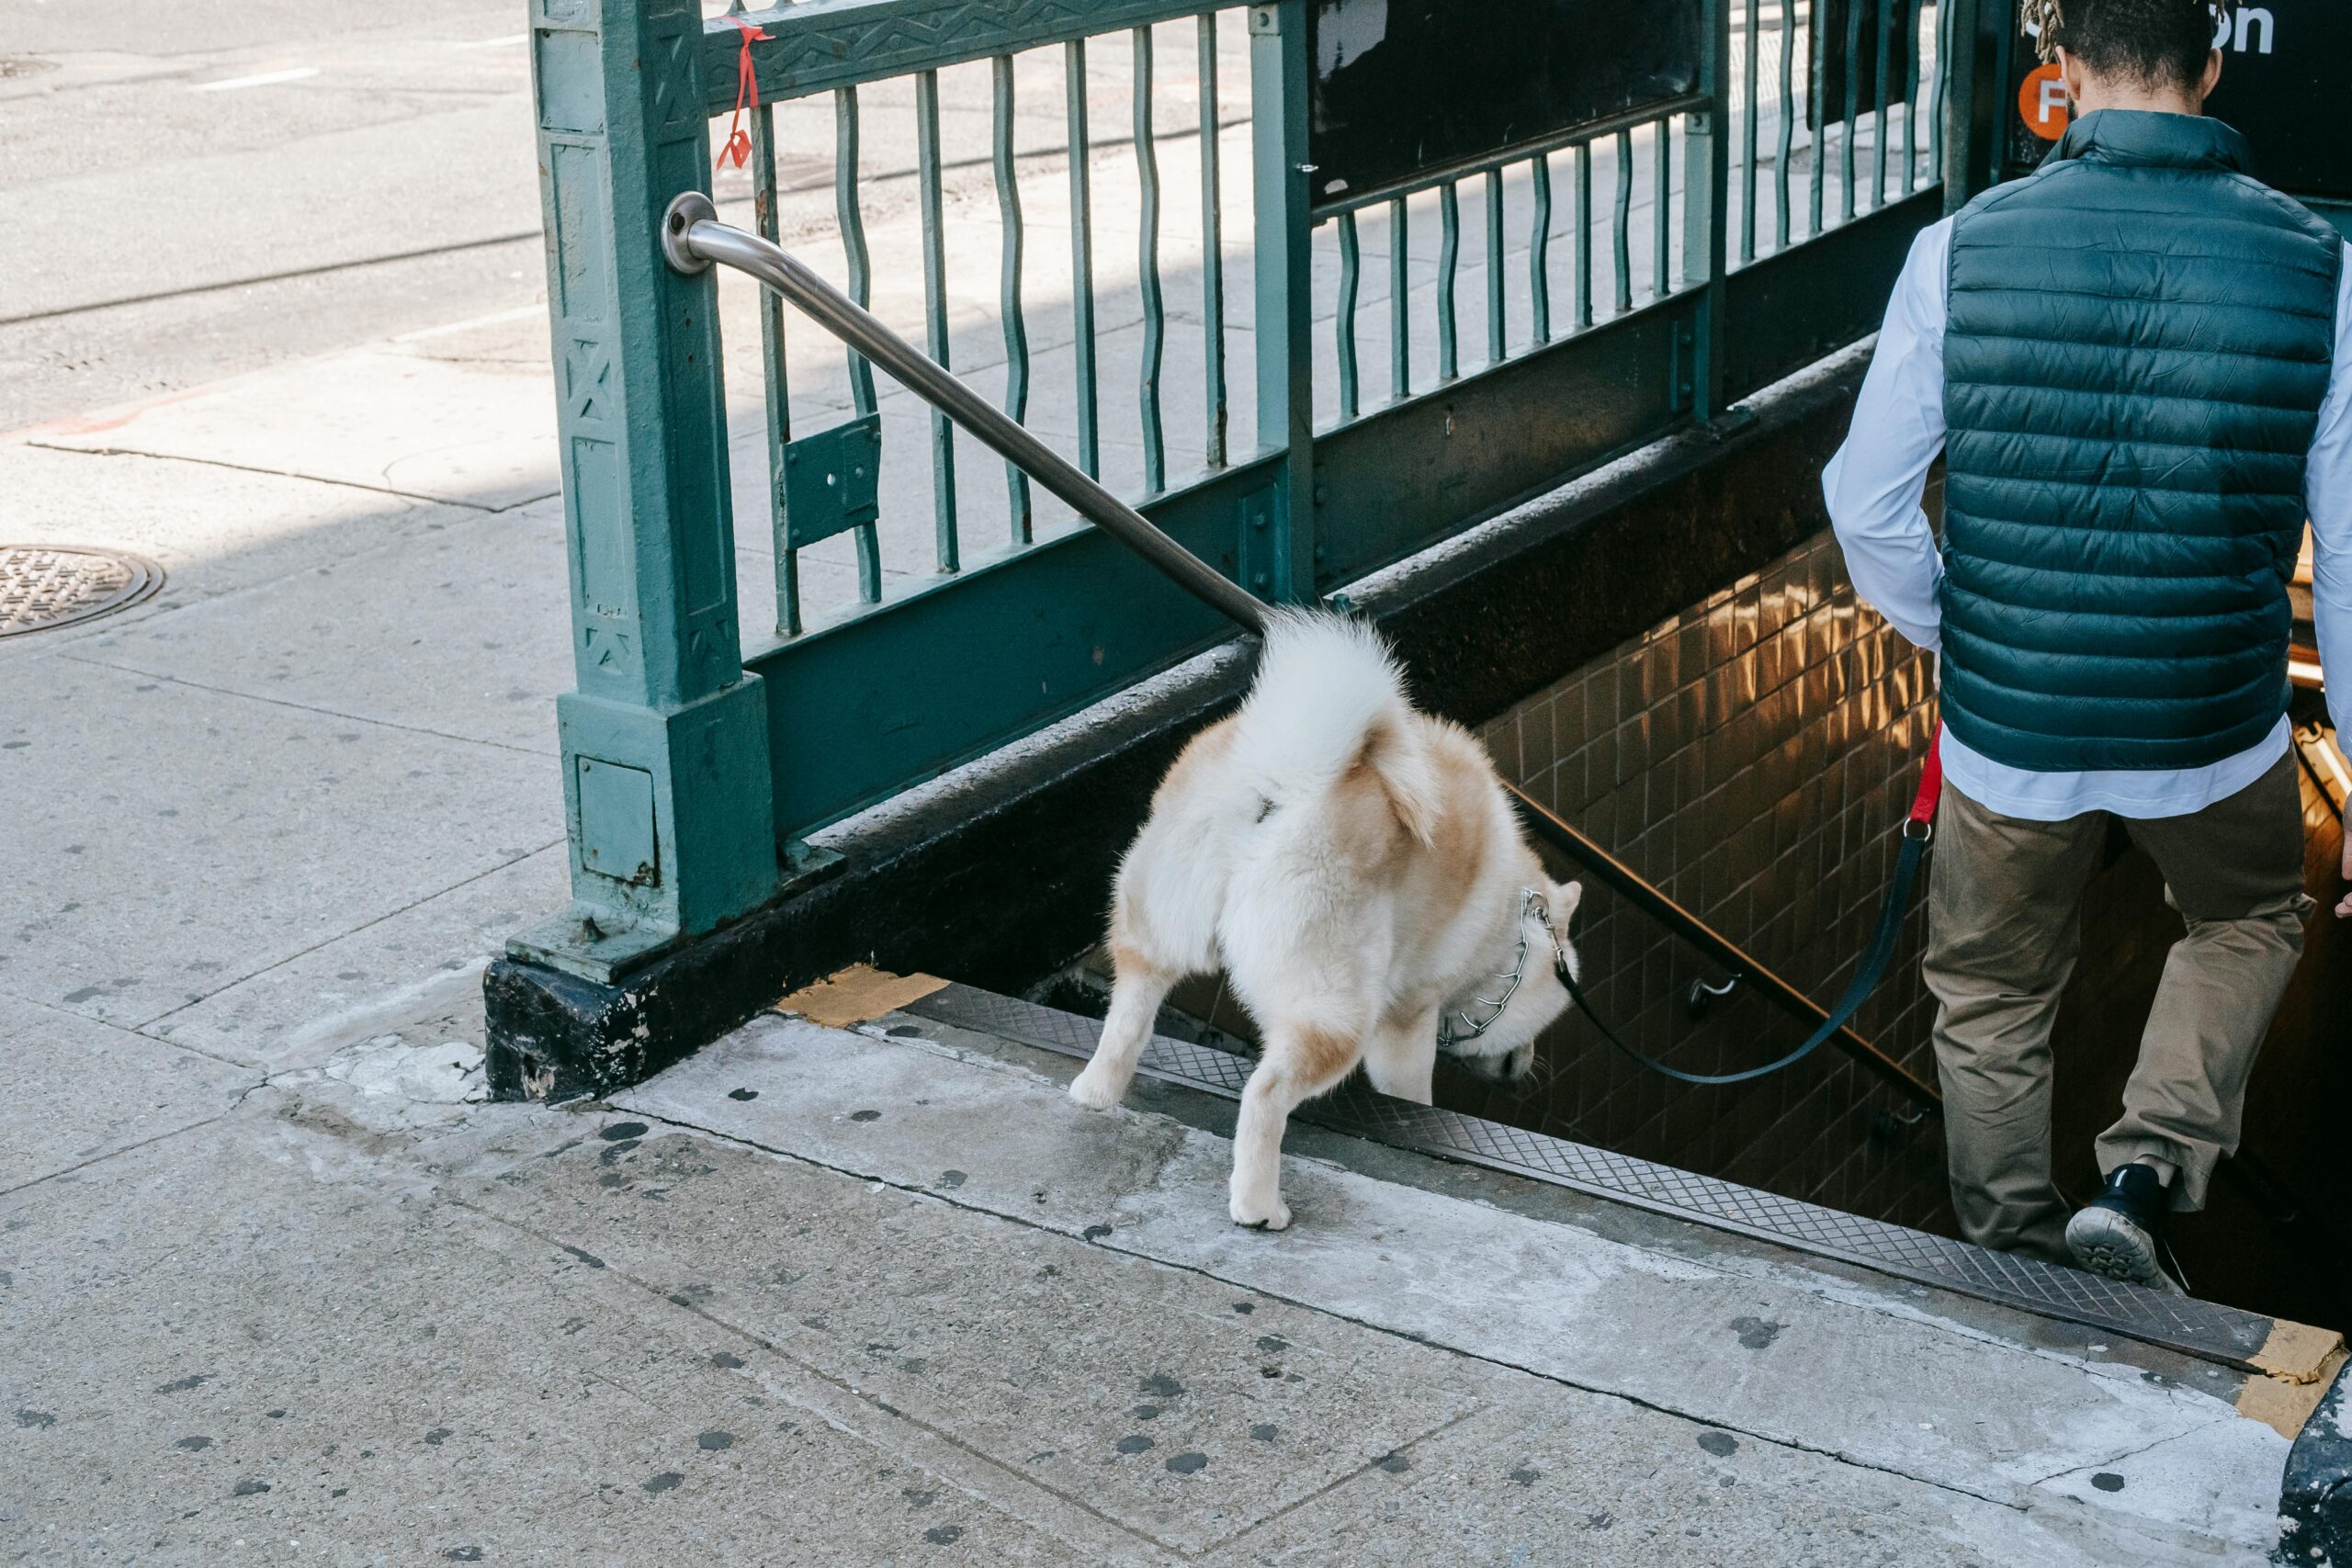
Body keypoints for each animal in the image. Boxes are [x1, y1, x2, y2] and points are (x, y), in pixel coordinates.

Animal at [1068, 606, 1580, 1232]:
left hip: (1151, 934)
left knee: (1126, 1023)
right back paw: (1259, 1206)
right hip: (1335, 1010)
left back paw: (1095, 1091)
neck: (1510, 921)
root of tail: (1281, 784)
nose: (1528, 1063)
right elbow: (1412, 1094)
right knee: (1265, 1094)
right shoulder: (1405, 1023)